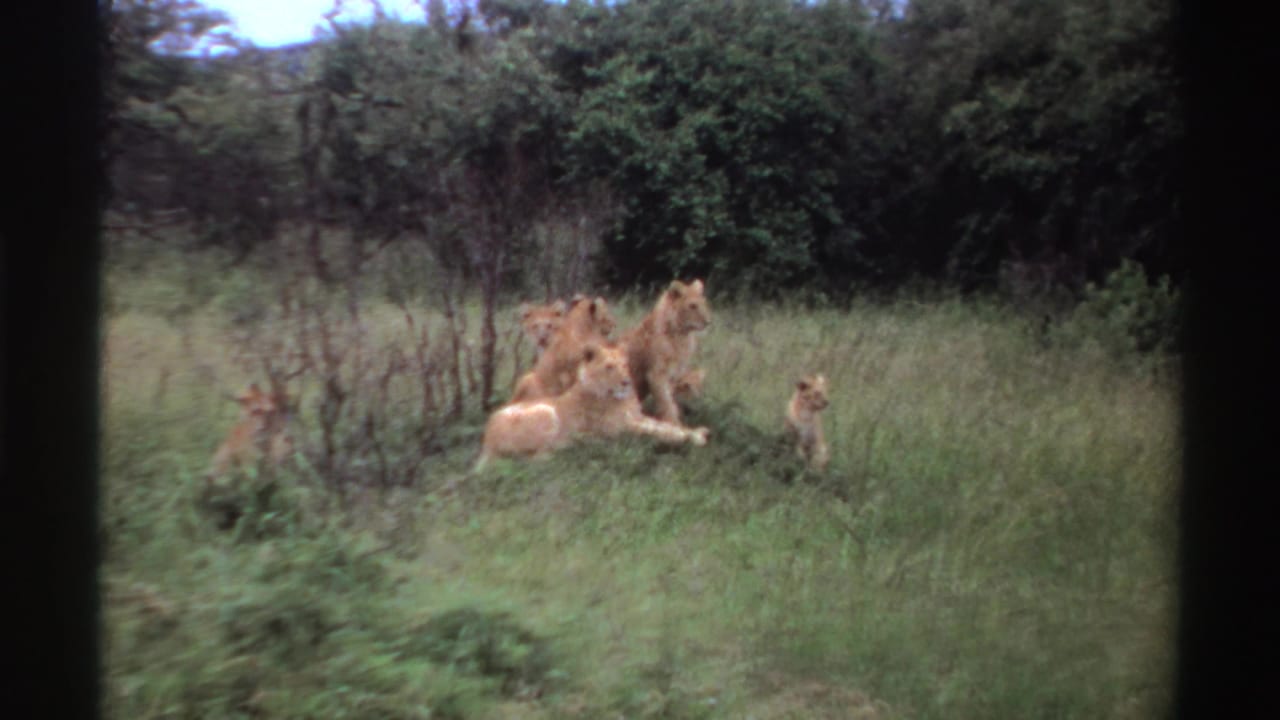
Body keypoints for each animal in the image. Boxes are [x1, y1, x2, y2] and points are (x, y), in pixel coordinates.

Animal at [476, 343, 710, 470]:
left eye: (624, 365)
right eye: (609, 367)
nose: (626, 382)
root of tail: (485, 441)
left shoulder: (637, 417)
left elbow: (665, 426)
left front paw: (696, 431)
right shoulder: (620, 428)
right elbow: (659, 432)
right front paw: (694, 438)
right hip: (546, 413)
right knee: (534, 458)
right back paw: (576, 446)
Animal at [619, 279, 711, 425]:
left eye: (704, 303)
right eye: (692, 306)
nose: (708, 322)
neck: (681, 336)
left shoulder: (673, 375)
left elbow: (671, 400)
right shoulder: (656, 374)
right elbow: (667, 403)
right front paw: (674, 424)